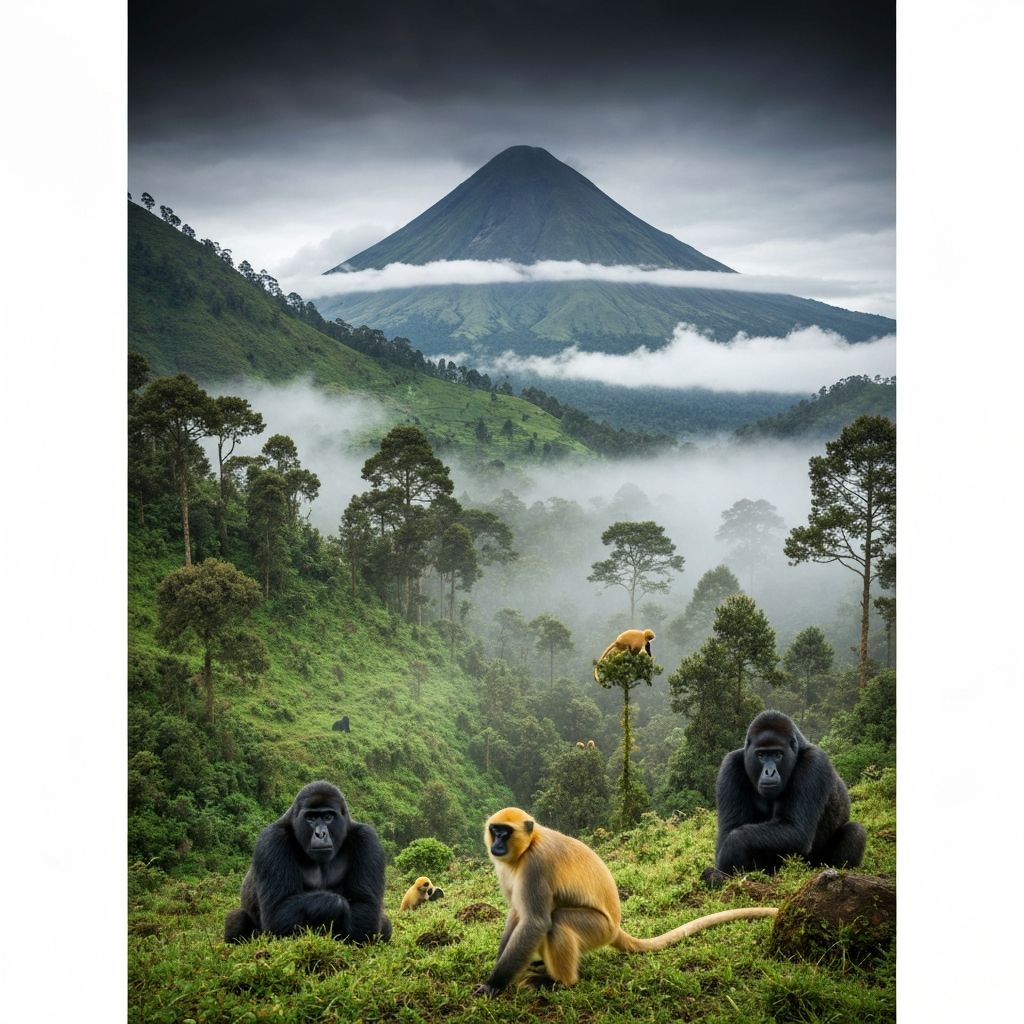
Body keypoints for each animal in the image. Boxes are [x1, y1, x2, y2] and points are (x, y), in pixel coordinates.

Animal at [474, 807, 777, 996]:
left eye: (505, 833)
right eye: (495, 830)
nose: (497, 844)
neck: (526, 849)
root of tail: (616, 927)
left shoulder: (536, 865)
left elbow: (535, 922)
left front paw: (493, 985)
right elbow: (517, 914)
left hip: (598, 929)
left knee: (556, 921)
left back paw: (560, 982)